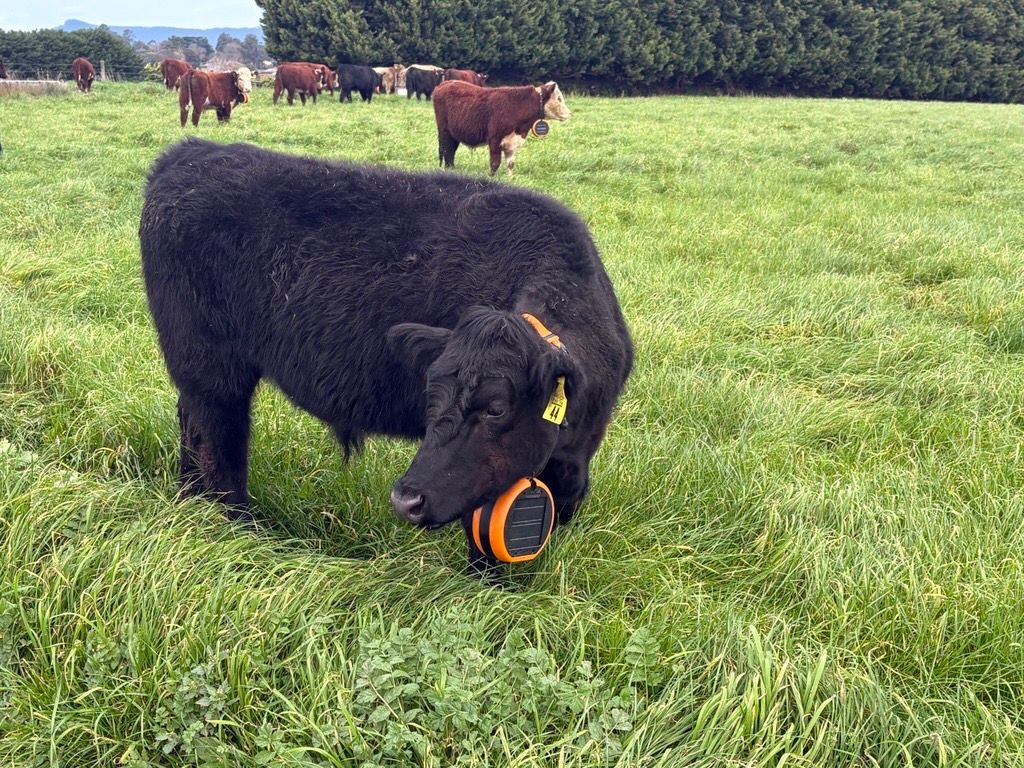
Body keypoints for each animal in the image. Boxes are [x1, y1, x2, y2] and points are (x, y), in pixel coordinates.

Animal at [139, 138, 633, 576]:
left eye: (496, 407)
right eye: (431, 394)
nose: (406, 500)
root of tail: (190, 152)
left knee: (193, 425)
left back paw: (190, 500)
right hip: (212, 370)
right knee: (221, 446)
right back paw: (238, 530)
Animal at [433, 80, 571, 176]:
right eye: (559, 98)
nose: (569, 113)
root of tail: (444, 84)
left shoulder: (512, 142)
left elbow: (510, 163)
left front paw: (510, 177)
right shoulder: (494, 139)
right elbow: (495, 162)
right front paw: (491, 177)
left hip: (453, 134)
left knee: (450, 151)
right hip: (444, 132)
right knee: (447, 151)